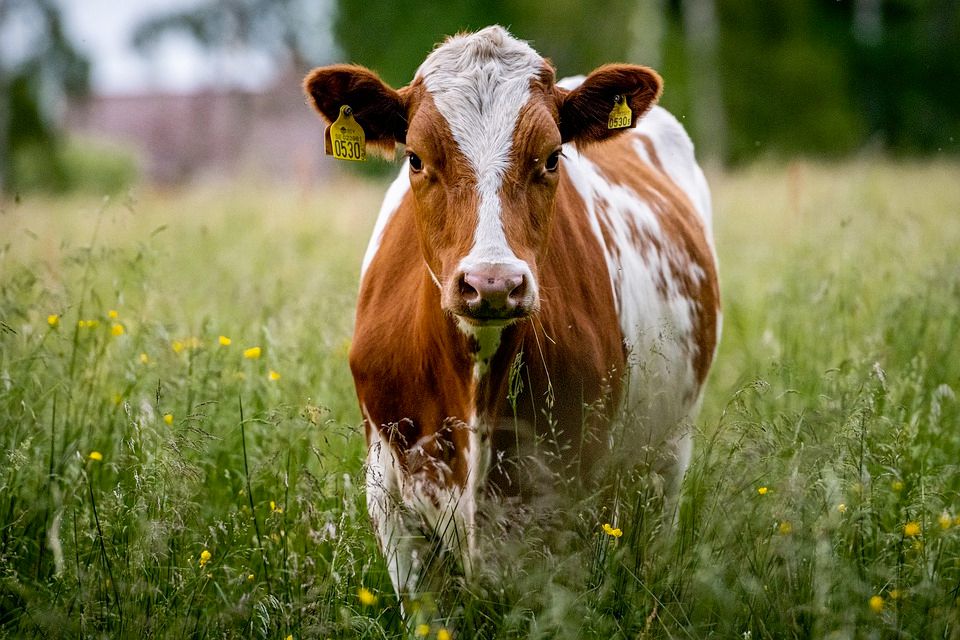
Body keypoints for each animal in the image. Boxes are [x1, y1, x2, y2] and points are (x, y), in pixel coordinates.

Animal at [304, 25, 716, 604]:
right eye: (416, 158)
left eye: (552, 157)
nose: (492, 282)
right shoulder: (391, 503)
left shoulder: (569, 503)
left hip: (667, 454)